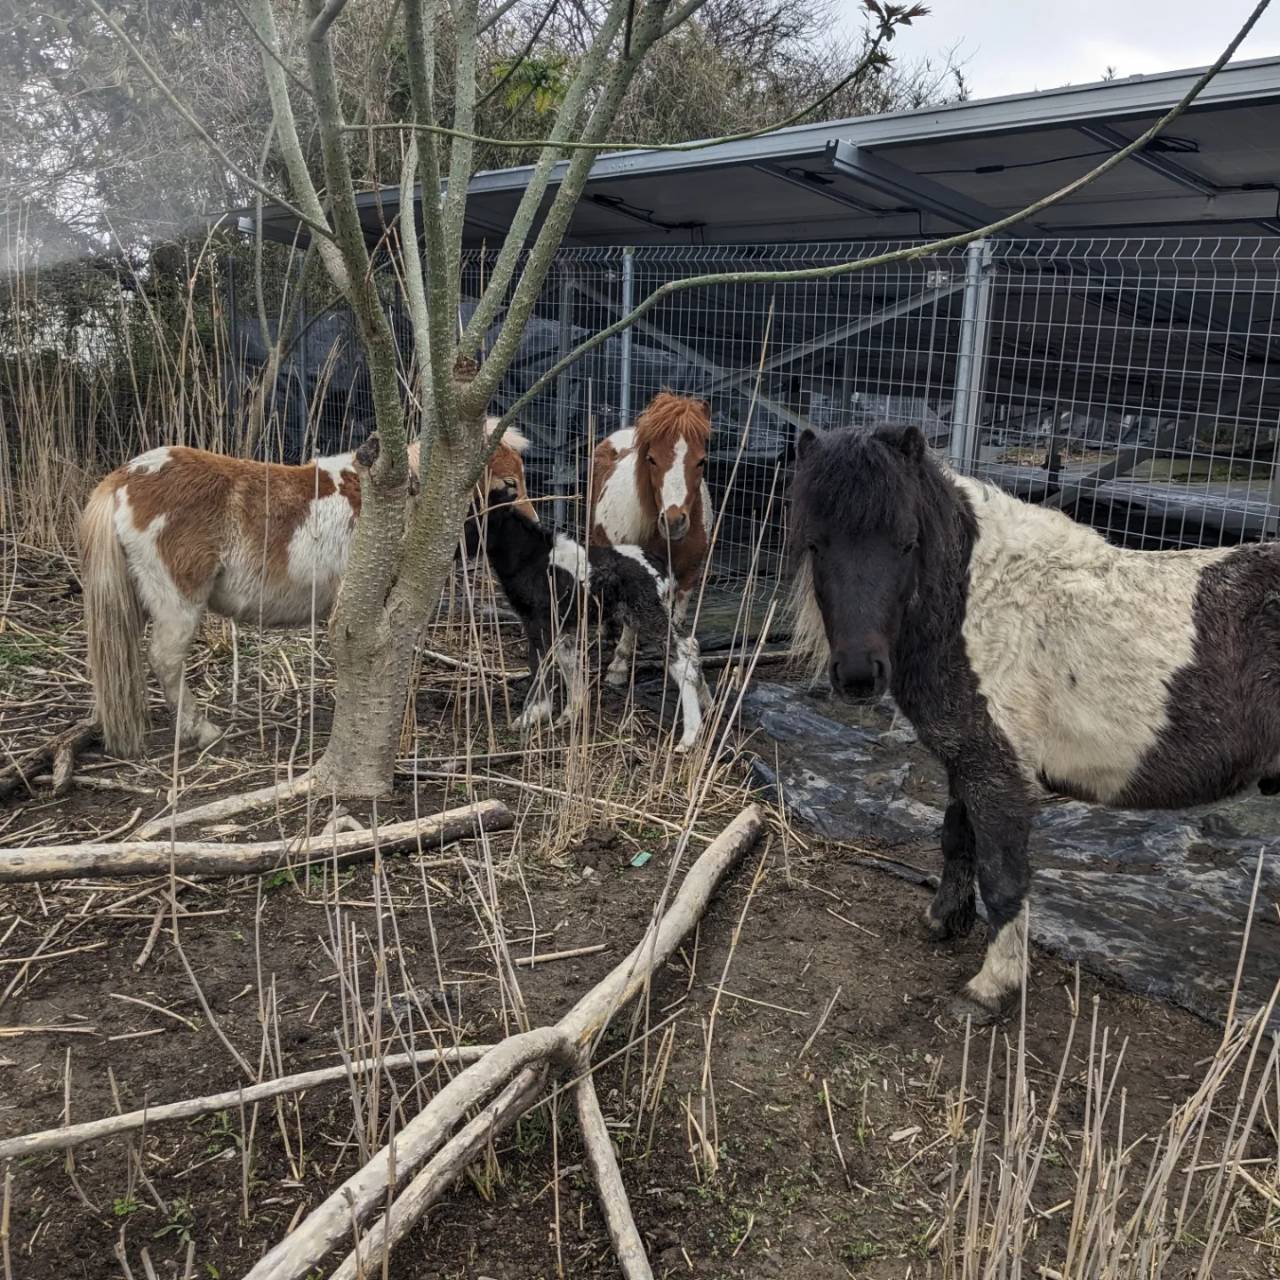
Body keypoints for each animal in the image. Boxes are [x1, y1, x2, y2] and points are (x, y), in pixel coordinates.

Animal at [80, 424, 532, 752]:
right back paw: (201, 730)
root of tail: (123, 477)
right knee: (165, 661)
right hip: (178, 603)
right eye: (509, 485)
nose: (535, 530)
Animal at [473, 488, 711, 747]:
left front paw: (532, 715)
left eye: (473, 517)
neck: (530, 559)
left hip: (648, 615)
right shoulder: (561, 625)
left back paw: (690, 735)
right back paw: (707, 704)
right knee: (691, 645)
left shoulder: (537, 622)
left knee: (680, 656)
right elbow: (569, 663)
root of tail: (660, 565)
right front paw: (571, 713)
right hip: (644, 614)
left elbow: (539, 665)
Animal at [586, 394, 716, 686]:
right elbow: (631, 624)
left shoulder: (688, 577)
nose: (674, 521)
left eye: (702, 461)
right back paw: (605, 632)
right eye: (652, 459)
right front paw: (618, 668)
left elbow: (677, 620)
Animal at [788, 424, 1280, 1024]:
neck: (977, 605)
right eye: (816, 543)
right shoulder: (969, 760)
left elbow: (1003, 877)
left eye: (907, 542)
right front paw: (943, 921)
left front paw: (990, 988)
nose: (859, 675)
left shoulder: (999, 772)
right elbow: (956, 839)